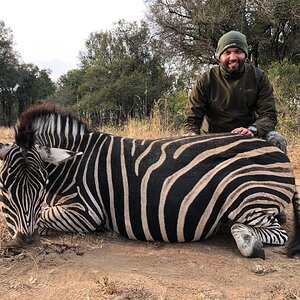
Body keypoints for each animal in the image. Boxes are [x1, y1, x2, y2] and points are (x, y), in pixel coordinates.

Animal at [0, 103, 298, 258]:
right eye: (5, 188)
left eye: (41, 186)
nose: (26, 241)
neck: (74, 165)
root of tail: (279, 152)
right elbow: (42, 214)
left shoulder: (88, 211)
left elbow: (44, 216)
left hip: (248, 195)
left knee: (271, 232)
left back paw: (248, 240)